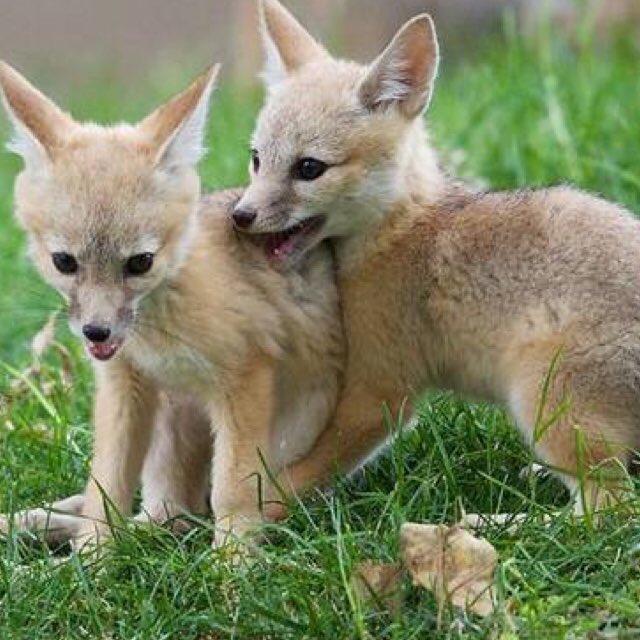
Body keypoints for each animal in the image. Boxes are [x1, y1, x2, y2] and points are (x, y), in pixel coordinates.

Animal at [0, 61, 343, 548]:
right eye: (63, 262)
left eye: (140, 262)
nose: (96, 332)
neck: (155, 339)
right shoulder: (123, 386)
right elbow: (105, 489)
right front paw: (93, 555)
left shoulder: (245, 378)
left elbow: (233, 491)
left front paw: (233, 561)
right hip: (169, 420)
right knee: (159, 512)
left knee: (180, 515)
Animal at [232, 0, 640, 516]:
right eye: (256, 159)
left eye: (309, 168)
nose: (240, 216)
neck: (401, 225)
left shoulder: (379, 391)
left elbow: (303, 473)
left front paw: (246, 514)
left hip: (547, 404)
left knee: (605, 514)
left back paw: (493, 520)